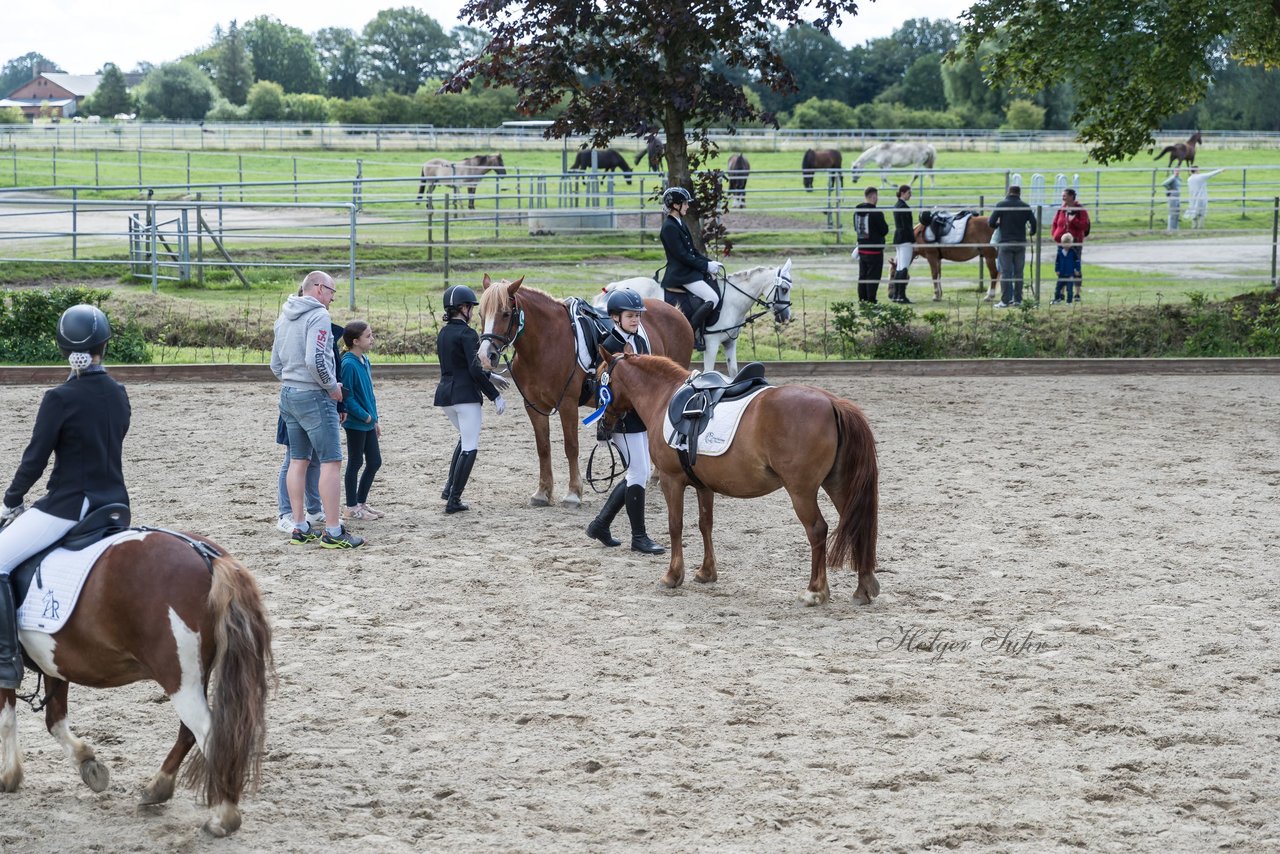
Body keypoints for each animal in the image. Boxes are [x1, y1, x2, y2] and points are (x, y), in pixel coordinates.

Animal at [1, 530, 272, 839]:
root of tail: (208, 558)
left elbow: (7, 719)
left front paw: (9, 775)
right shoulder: (54, 662)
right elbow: (54, 720)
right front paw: (87, 763)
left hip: (179, 679)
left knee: (209, 733)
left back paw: (223, 817)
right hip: (191, 679)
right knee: (190, 732)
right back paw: (158, 788)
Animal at [478, 277, 696, 512]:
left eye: (505, 313)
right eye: (480, 313)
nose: (485, 356)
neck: (546, 343)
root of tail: (675, 312)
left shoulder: (567, 404)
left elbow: (571, 446)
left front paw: (573, 493)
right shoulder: (534, 406)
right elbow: (543, 448)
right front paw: (542, 492)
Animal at [596, 258, 793, 376]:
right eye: (784, 289)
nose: (785, 317)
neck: (731, 300)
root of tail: (617, 286)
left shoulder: (729, 343)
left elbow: (734, 371)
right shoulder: (712, 344)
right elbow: (708, 371)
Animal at [596, 350, 880, 604]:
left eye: (600, 381)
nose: (603, 426)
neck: (665, 397)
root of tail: (832, 402)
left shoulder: (671, 479)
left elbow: (675, 525)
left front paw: (673, 575)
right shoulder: (703, 485)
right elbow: (705, 524)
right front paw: (706, 572)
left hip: (802, 492)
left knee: (817, 530)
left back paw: (815, 591)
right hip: (838, 484)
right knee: (856, 524)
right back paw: (863, 588)